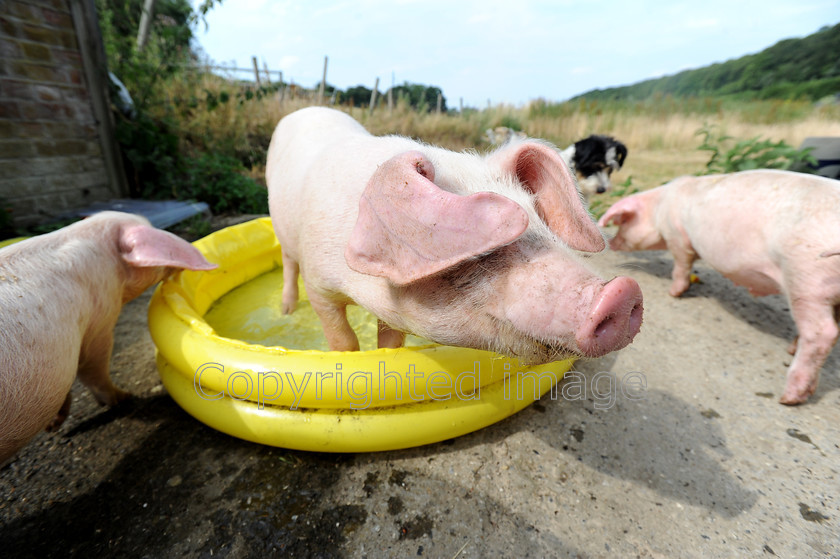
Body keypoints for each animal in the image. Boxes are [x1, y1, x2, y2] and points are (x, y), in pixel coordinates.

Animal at [268, 109, 644, 368]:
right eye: (481, 251)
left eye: (541, 221)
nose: (622, 293)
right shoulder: (319, 285)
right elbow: (342, 337)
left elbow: (390, 339)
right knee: (287, 261)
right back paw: (285, 310)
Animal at [596, 168, 840, 404]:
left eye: (622, 223)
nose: (611, 243)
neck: (659, 208)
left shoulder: (677, 236)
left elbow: (681, 265)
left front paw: (674, 293)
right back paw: (791, 351)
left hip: (805, 278)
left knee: (824, 332)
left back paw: (788, 398)